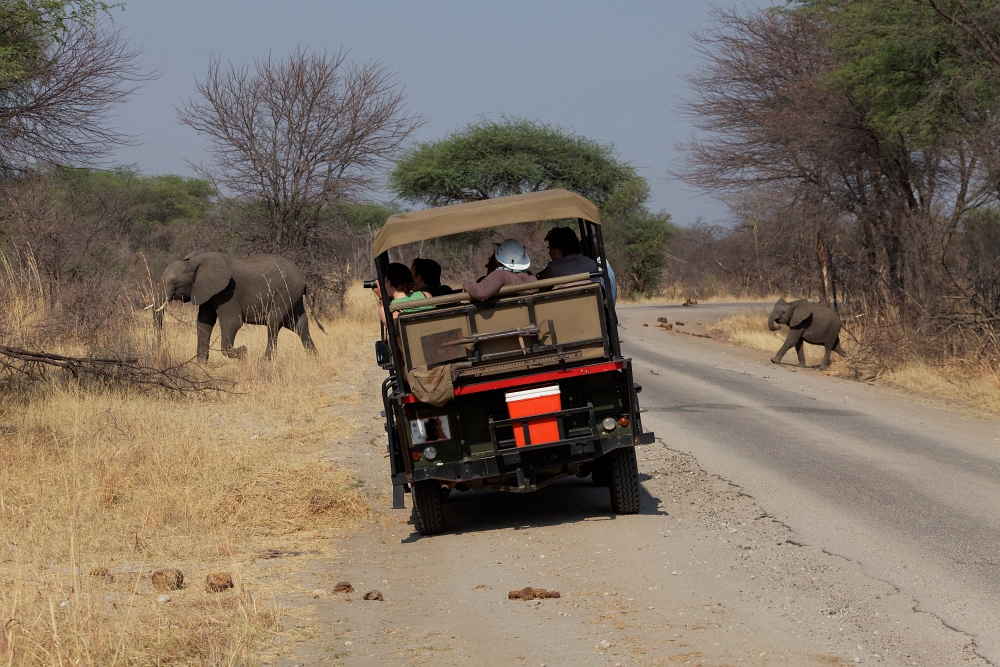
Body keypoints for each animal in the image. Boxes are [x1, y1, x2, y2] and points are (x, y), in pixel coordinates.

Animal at [160, 250, 316, 362]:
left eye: (175, 283)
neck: (193, 262)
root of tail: (303, 280)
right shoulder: (207, 291)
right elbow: (204, 322)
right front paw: (201, 365)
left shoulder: (228, 291)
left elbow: (232, 322)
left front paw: (244, 352)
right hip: (293, 295)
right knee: (299, 324)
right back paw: (314, 358)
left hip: (285, 291)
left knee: (273, 322)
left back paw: (265, 361)